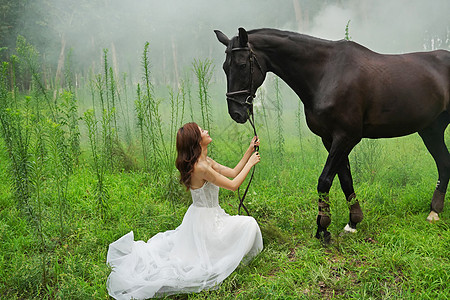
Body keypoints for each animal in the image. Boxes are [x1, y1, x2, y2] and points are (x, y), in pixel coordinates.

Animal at [214, 26, 450, 241]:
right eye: (225, 67)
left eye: (242, 65)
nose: (236, 113)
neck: (326, 73)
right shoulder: (330, 139)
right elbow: (345, 179)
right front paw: (353, 222)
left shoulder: (346, 137)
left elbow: (325, 180)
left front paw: (323, 227)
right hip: (431, 130)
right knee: (443, 162)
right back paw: (434, 211)